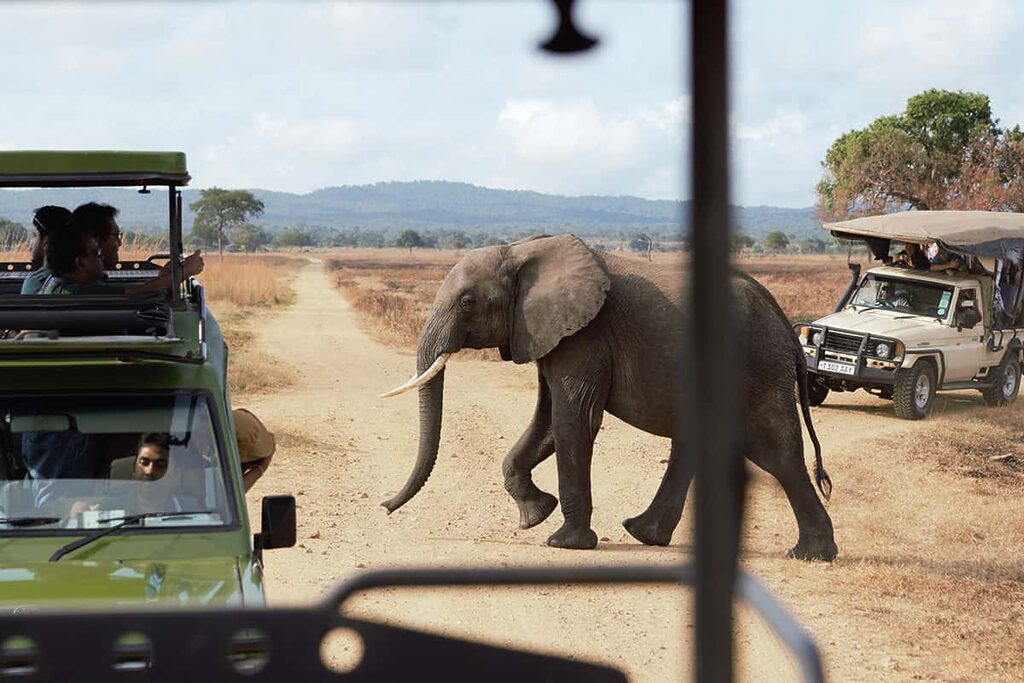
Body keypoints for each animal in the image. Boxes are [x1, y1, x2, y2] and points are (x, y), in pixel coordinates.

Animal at [380, 235, 835, 561]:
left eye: (467, 302)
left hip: (757, 368)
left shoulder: (585, 336)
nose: (384, 507)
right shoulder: (552, 335)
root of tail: (787, 325)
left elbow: (573, 420)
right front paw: (535, 515)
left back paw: (810, 555)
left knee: (776, 454)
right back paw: (643, 534)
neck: (521, 250)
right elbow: (547, 421)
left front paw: (563, 543)